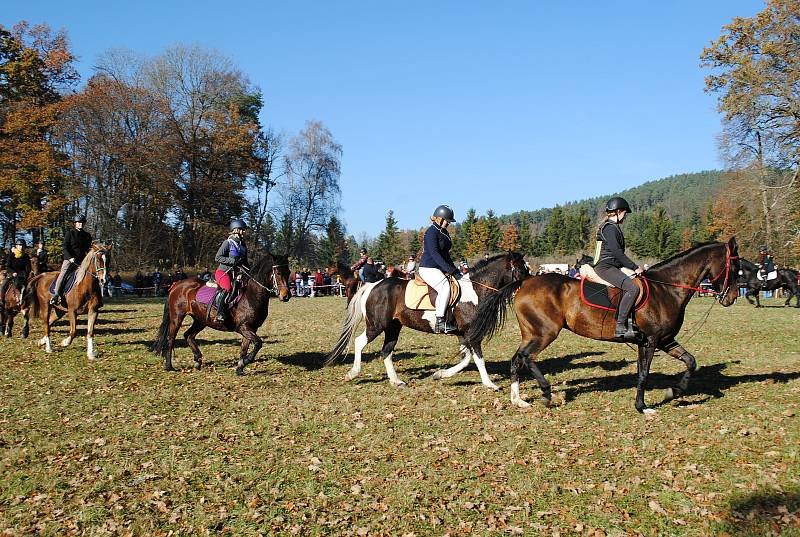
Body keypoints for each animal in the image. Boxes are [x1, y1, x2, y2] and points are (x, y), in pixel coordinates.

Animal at [152, 253, 292, 374]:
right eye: (278, 273)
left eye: (289, 272)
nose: (286, 296)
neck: (251, 295)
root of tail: (176, 285)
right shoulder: (243, 327)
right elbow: (258, 343)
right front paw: (246, 361)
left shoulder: (251, 328)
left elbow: (244, 348)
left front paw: (240, 367)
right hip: (177, 318)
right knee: (171, 339)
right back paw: (169, 366)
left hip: (201, 320)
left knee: (188, 335)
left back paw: (197, 360)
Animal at [324, 253, 532, 388]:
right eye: (522, 269)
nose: (532, 286)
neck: (475, 290)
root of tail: (373, 285)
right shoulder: (471, 334)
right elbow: (478, 359)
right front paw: (490, 384)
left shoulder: (463, 334)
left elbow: (466, 358)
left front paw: (440, 374)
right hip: (377, 325)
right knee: (360, 342)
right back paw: (353, 373)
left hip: (393, 328)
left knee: (386, 352)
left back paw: (396, 381)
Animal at [466, 238, 740, 410]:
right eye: (736, 266)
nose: (732, 298)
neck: (666, 288)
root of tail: (524, 283)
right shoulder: (651, 341)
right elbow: (643, 374)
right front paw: (642, 407)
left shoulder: (664, 340)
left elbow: (690, 361)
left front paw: (675, 392)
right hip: (545, 333)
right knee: (526, 357)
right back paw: (545, 392)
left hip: (532, 333)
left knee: (517, 359)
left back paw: (518, 399)